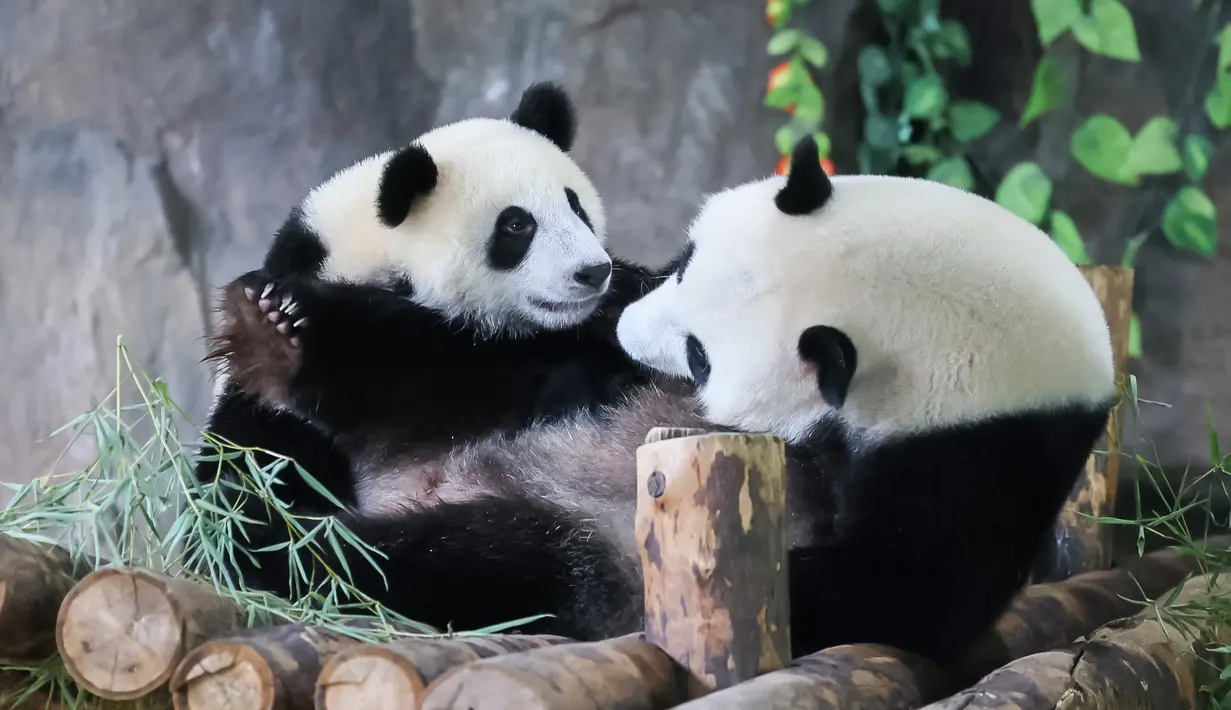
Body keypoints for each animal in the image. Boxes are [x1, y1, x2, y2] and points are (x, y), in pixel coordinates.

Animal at [211, 134, 1114, 669]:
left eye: (700, 354)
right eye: (682, 261)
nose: (624, 331)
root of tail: (408, 478)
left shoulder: (982, 461)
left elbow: (892, 589)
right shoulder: (549, 344)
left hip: (553, 535)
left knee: (462, 559)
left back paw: (289, 546)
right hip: (474, 377)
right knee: (410, 359)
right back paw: (277, 336)